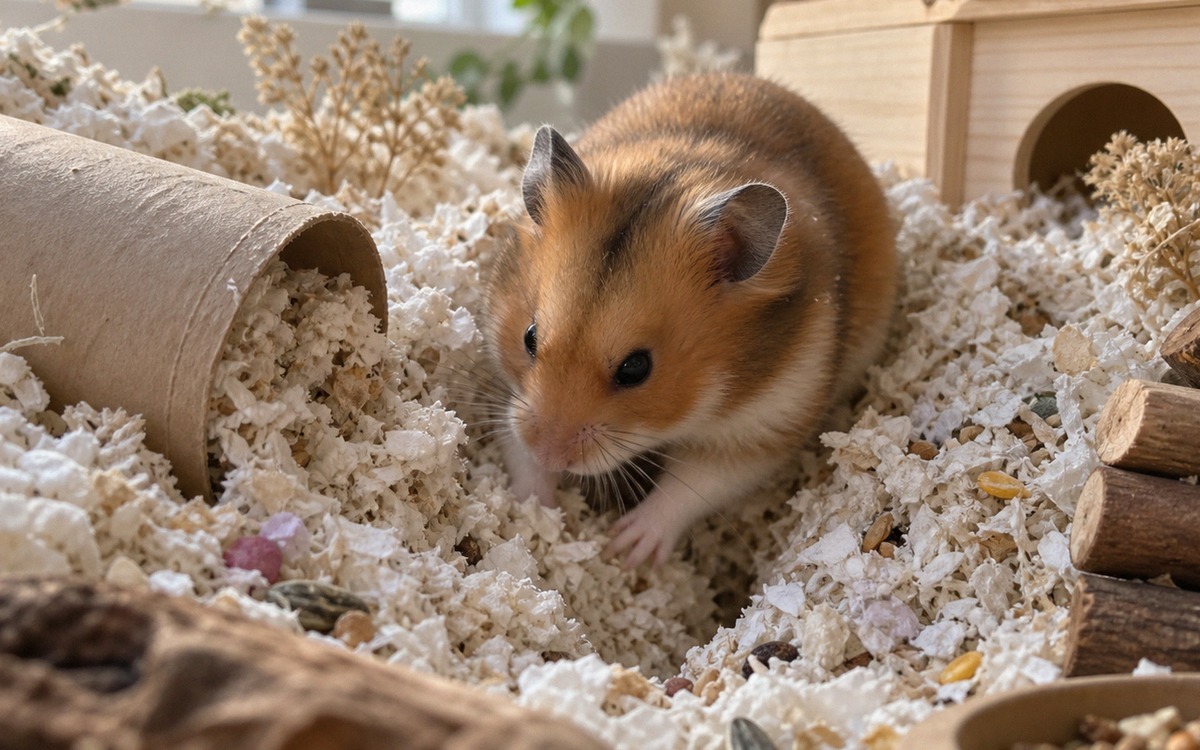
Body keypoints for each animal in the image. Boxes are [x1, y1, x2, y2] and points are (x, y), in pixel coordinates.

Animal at [483, 72, 897, 567]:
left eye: (636, 368)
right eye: (529, 337)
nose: (550, 454)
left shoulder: (766, 423)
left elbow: (693, 487)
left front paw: (626, 548)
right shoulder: (509, 396)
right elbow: (517, 448)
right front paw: (533, 510)